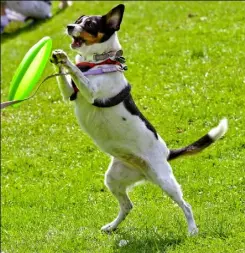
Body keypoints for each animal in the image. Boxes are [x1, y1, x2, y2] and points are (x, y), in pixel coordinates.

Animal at [49, 3, 228, 234]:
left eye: (89, 24)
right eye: (78, 20)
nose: (69, 26)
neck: (98, 62)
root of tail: (167, 154)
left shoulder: (91, 93)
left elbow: (76, 72)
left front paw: (66, 59)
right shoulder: (69, 94)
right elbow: (67, 77)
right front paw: (57, 59)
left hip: (164, 180)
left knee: (185, 205)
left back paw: (192, 230)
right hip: (114, 178)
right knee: (128, 206)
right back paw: (112, 226)